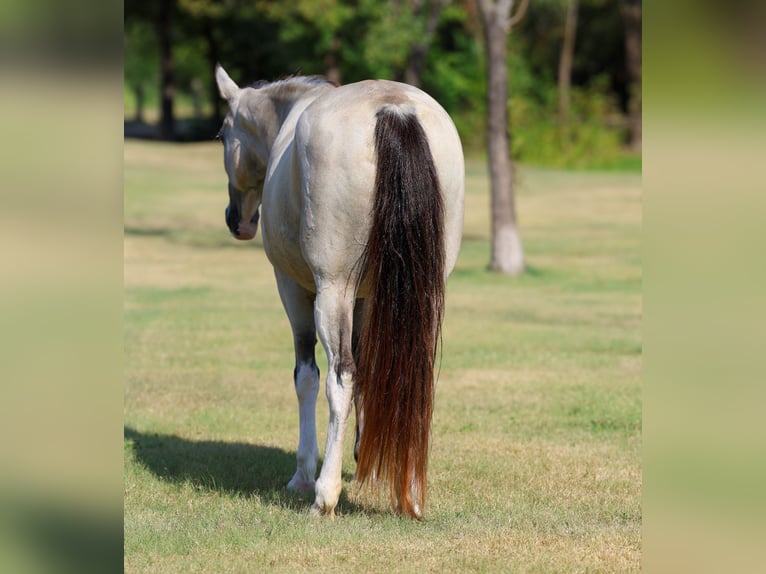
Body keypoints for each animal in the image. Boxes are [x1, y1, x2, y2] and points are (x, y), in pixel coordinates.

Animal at [214, 65, 464, 518]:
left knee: (339, 377)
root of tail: (394, 110)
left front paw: (303, 473)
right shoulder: (368, 298)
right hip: (419, 294)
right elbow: (372, 372)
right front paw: (368, 459)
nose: (235, 220)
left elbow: (308, 378)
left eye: (222, 135)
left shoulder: (295, 290)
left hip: (331, 291)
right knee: (410, 376)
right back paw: (410, 492)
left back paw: (324, 494)